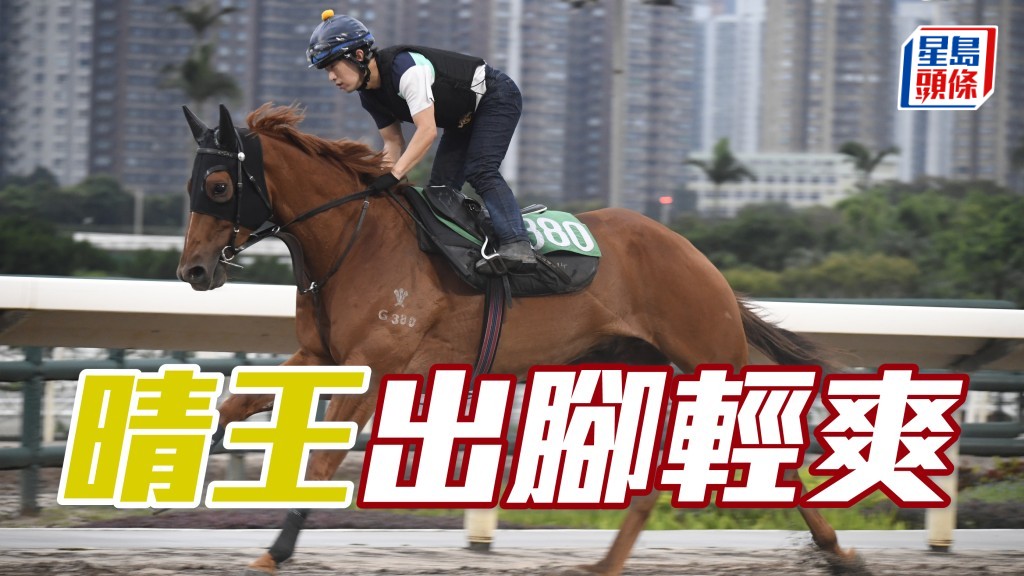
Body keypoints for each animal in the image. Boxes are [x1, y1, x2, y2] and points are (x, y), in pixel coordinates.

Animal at [177, 103, 857, 575]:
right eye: (191, 185)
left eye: (218, 186)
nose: (194, 271)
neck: (357, 241)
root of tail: (697, 257)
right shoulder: (320, 355)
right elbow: (228, 410)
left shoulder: (376, 365)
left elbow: (319, 462)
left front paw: (276, 551)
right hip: (634, 368)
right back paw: (609, 563)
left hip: (706, 355)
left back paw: (836, 551)